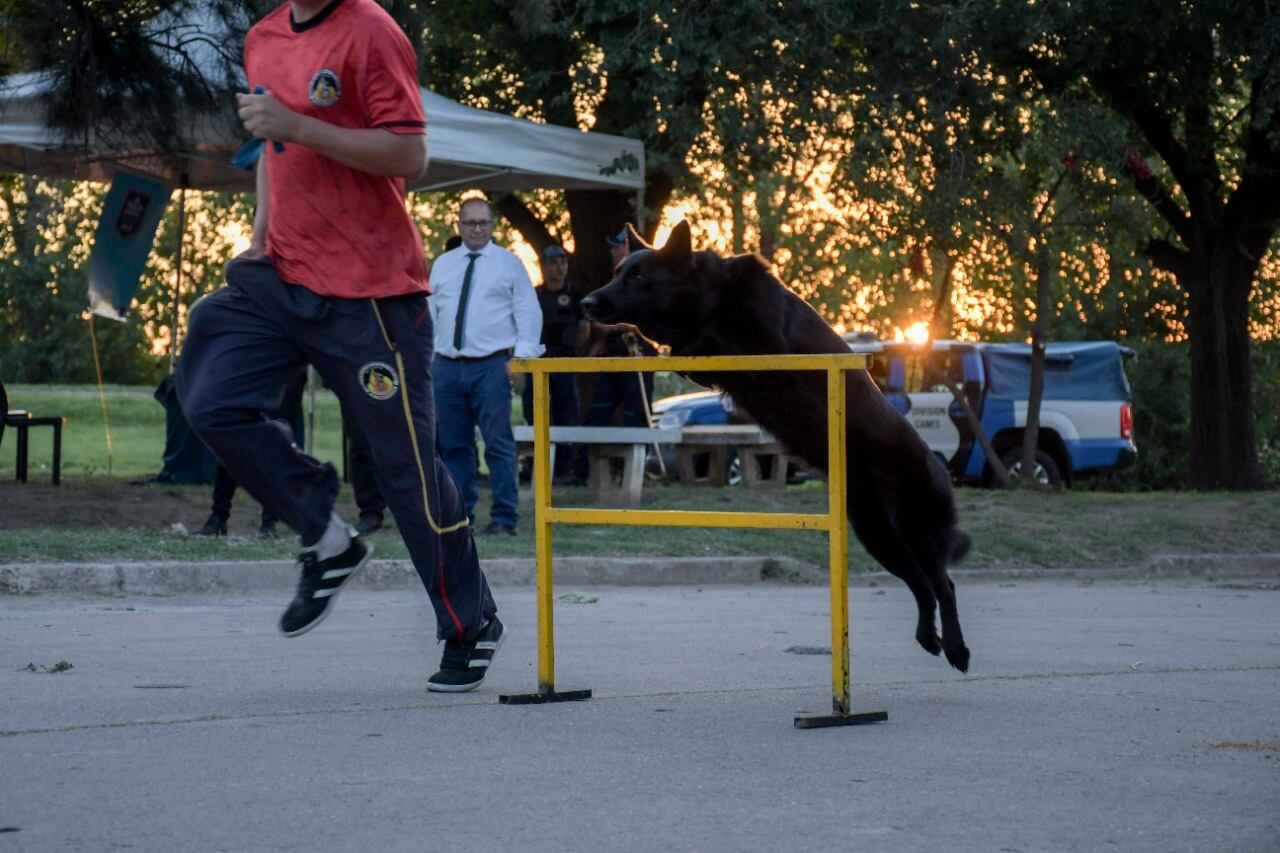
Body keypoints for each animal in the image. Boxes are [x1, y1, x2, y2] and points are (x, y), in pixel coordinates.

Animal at [586, 220, 972, 671]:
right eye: (617, 273)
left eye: (638, 277)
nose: (586, 302)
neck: (714, 296)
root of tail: (940, 468)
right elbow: (683, 351)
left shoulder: (767, 348)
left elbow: (696, 341)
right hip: (877, 535)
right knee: (922, 587)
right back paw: (928, 638)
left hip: (915, 532)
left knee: (943, 585)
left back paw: (957, 648)